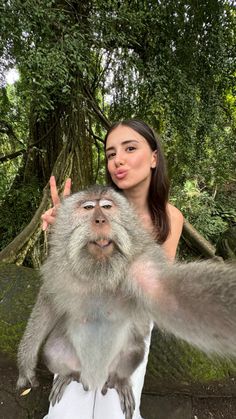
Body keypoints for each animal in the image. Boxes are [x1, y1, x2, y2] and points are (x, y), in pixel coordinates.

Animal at [16, 186, 236, 419]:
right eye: (88, 208)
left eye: (106, 206)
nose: (100, 220)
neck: (99, 273)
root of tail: (94, 378)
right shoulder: (57, 270)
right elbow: (47, 302)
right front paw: (25, 362)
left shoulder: (142, 265)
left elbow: (170, 294)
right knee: (53, 351)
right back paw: (69, 374)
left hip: (123, 356)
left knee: (134, 351)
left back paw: (119, 381)